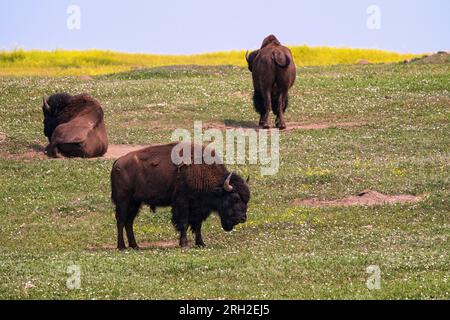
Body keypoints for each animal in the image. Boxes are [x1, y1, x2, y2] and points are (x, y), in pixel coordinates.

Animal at [110, 142, 250, 250]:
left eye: (247, 200)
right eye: (235, 198)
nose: (243, 218)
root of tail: (117, 162)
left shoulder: (198, 208)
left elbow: (198, 225)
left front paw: (201, 243)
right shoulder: (182, 203)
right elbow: (184, 223)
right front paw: (184, 244)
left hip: (135, 203)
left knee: (129, 222)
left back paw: (135, 246)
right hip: (123, 200)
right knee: (121, 221)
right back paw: (121, 246)